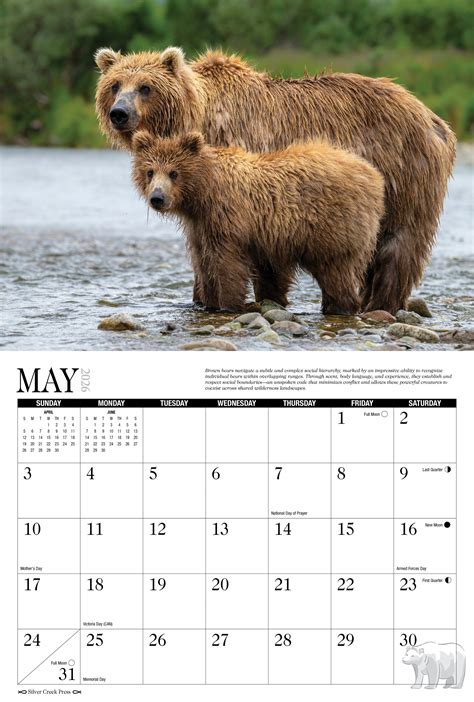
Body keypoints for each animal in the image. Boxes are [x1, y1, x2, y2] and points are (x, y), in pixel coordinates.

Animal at [130, 130, 385, 315]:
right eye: (150, 171)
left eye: (174, 173)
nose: (157, 198)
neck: (202, 194)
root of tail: (372, 174)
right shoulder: (199, 226)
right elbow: (204, 264)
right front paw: (209, 302)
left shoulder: (228, 219)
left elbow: (227, 265)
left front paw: (227, 305)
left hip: (333, 226)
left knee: (336, 271)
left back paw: (342, 307)